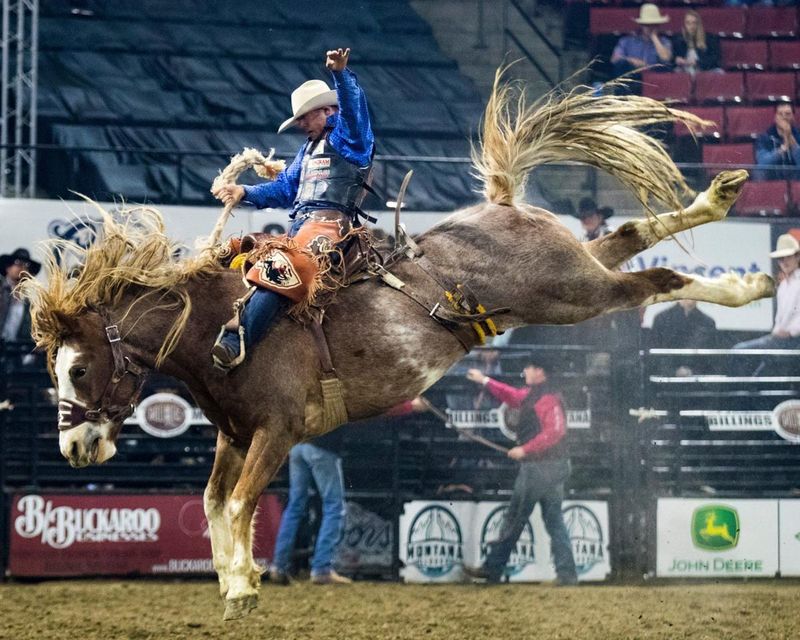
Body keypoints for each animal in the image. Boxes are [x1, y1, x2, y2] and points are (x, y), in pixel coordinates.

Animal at [17, 74, 768, 620]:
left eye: (77, 369)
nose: (74, 448)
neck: (218, 330)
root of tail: (501, 204)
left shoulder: (276, 431)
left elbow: (235, 505)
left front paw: (246, 585)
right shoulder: (235, 436)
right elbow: (211, 506)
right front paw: (234, 584)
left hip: (573, 293)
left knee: (656, 280)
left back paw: (752, 281)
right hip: (568, 275)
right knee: (631, 236)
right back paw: (719, 200)